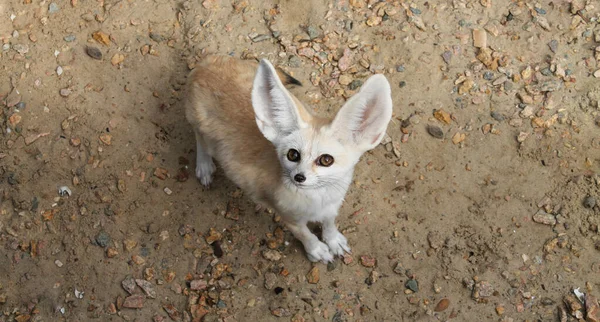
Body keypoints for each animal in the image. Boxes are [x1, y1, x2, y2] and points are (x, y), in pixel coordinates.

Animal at [188, 54, 394, 262]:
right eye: (293, 155)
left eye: (326, 160)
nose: (299, 177)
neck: (318, 199)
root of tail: (209, 61)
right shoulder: (289, 217)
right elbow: (305, 235)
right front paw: (316, 249)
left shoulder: (332, 207)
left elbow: (329, 224)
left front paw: (333, 240)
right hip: (200, 126)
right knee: (200, 138)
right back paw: (204, 165)